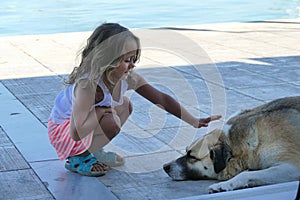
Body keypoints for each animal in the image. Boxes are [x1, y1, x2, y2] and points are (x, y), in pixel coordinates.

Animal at [164, 96, 300, 193]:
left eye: (192, 156)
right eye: (186, 151)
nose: (165, 167)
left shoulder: (292, 167)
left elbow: (245, 174)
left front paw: (224, 185)